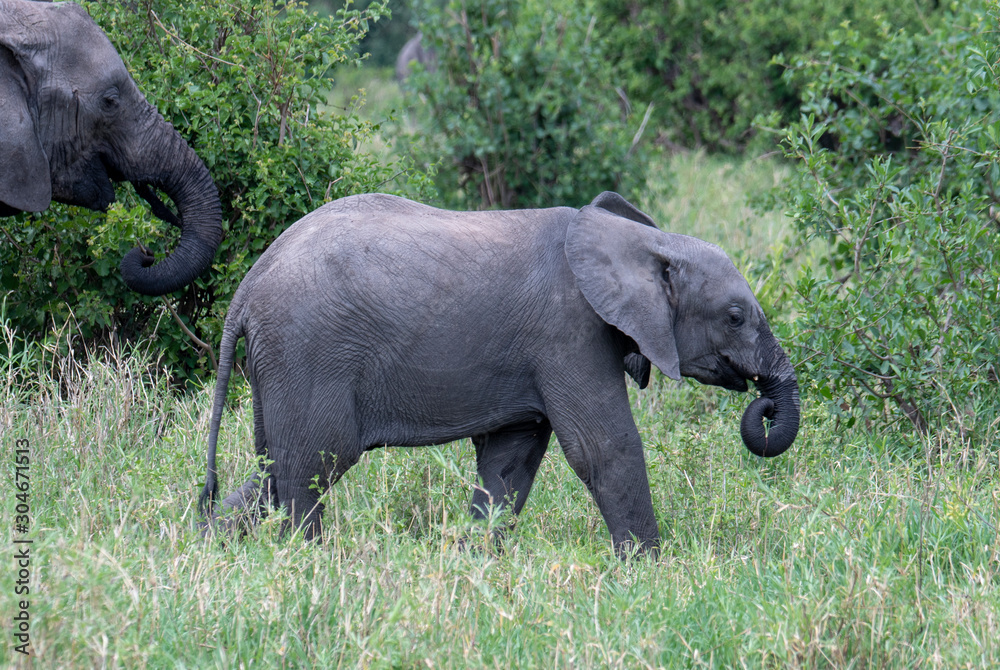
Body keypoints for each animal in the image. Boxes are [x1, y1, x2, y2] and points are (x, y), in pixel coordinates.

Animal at [200, 192, 800, 555]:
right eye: (735, 316)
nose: (765, 406)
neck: (637, 241)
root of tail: (247, 288)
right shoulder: (568, 334)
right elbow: (604, 448)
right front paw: (649, 572)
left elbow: (510, 465)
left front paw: (475, 563)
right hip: (308, 352)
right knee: (313, 465)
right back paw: (310, 562)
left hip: (280, 362)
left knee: (271, 470)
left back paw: (209, 544)